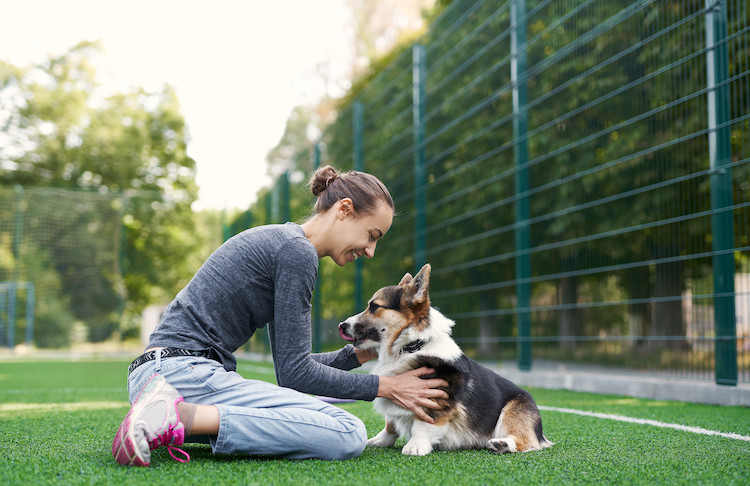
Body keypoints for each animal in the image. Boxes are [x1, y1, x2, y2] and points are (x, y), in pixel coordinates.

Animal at [340, 262, 552, 456]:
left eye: (374, 306)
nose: (342, 325)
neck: (411, 346)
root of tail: (541, 432)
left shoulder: (434, 396)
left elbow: (423, 423)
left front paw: (415, 446)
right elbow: (390, 423)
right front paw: (380, 440)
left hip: (512, 410)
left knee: (527, 442)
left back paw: (503, 444)